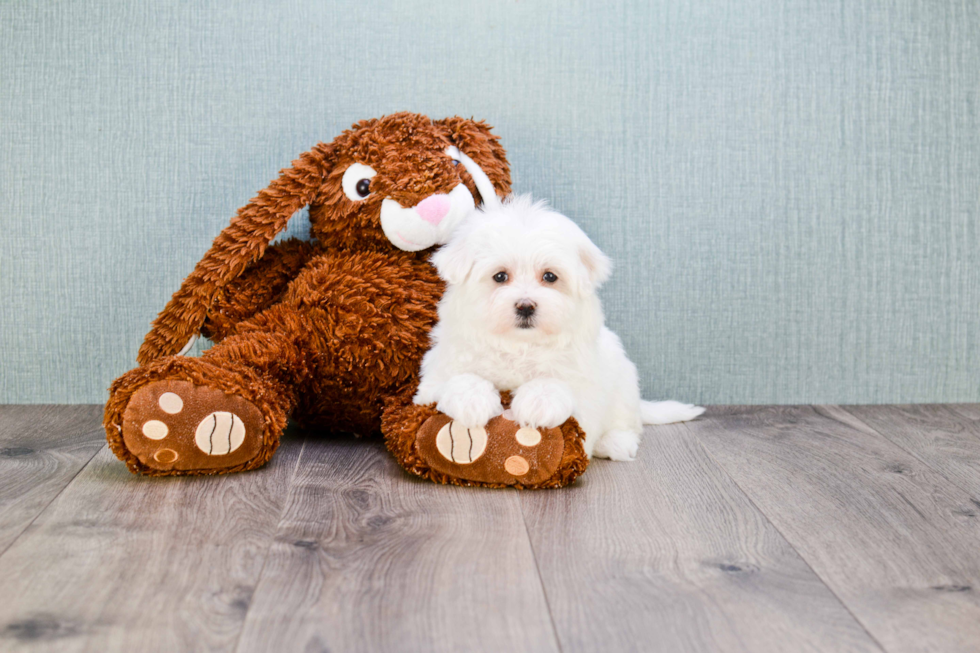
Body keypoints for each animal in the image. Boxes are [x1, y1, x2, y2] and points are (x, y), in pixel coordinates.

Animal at [414, 194, 704, 458]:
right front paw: (471, 402)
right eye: (500, 276)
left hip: (624, 381)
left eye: (550, 277)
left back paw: (615, 443)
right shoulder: (435, 376)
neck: (519, 344)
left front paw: (539, 403)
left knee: (626, 421)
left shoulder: (583, 382)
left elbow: (556, 384)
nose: (525, 305)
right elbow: (459, 379)